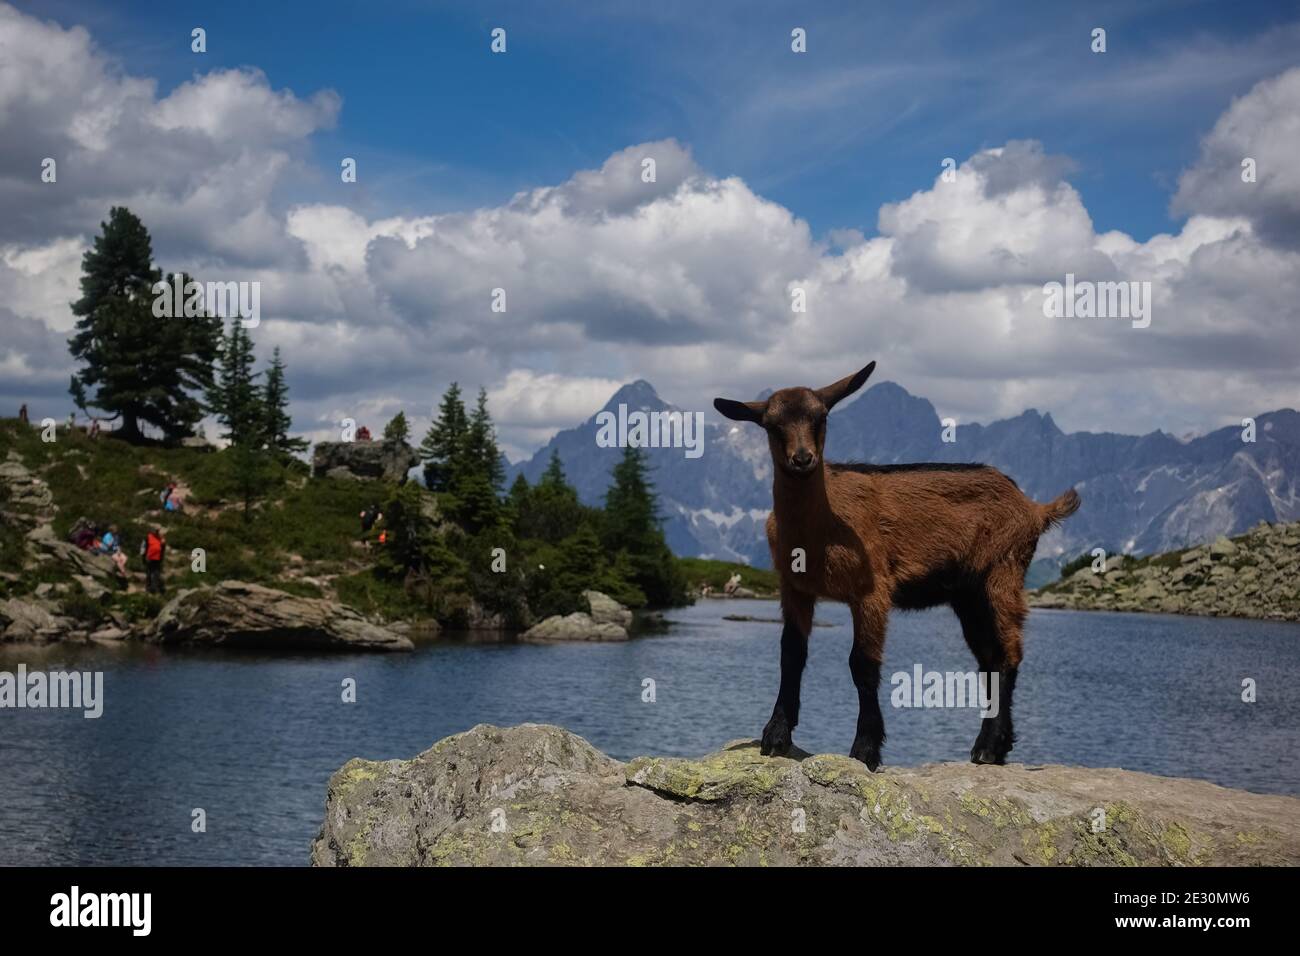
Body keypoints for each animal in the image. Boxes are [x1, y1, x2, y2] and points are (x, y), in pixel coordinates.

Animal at [714, 362, 1080, 770]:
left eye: (821, 417)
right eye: (772, 424)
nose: (803, 458)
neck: (823, 525)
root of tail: (1034, 508)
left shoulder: (872, 590)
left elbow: (863, 664)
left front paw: (865, 749)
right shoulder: (794, 588)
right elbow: (791, 655)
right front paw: (776, 735)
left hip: (1003, 571)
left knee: (1007, 653)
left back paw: (987, 748)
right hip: (968, 595)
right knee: (987, 657)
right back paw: (997, 747)